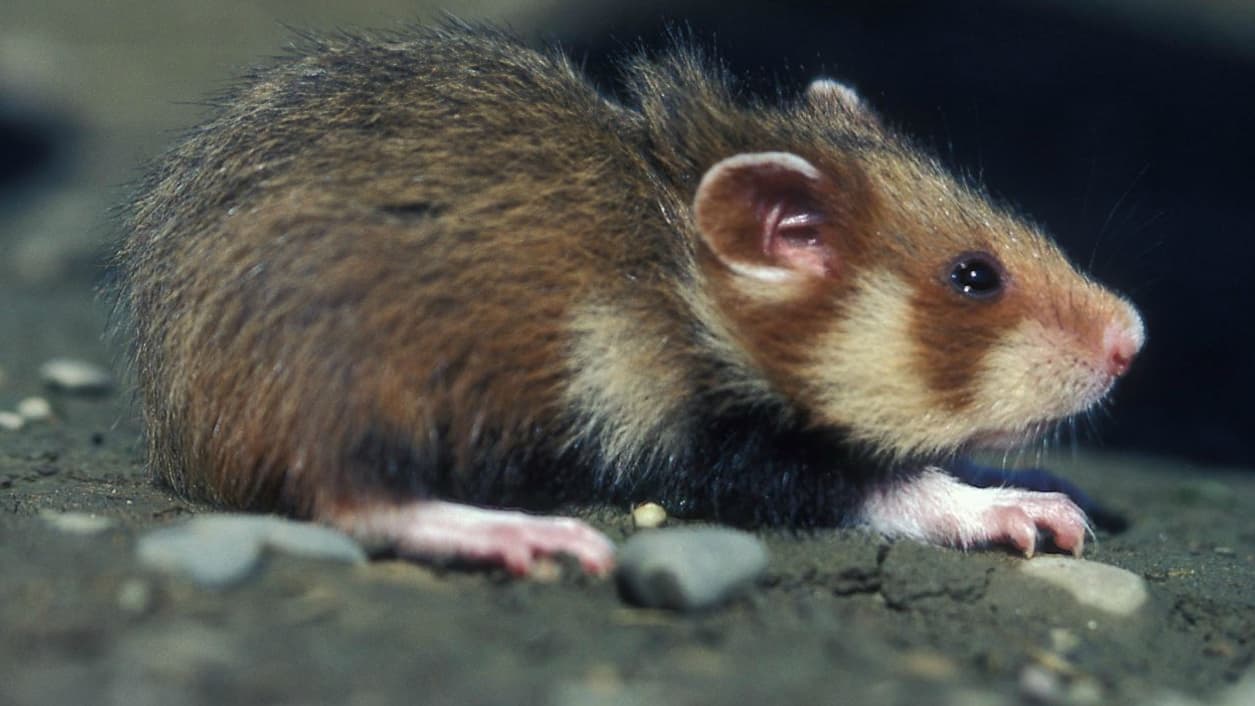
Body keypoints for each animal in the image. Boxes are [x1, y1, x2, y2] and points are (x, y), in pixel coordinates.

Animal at [114, 23, 1144, 576]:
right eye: (974, 276)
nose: (1133, 339)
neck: (687, 278)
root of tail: (183, 431)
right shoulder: (689, 434)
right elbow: (883, 484)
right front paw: (1034, 511)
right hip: (361, 391)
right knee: (352, 503)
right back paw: (530, 535)